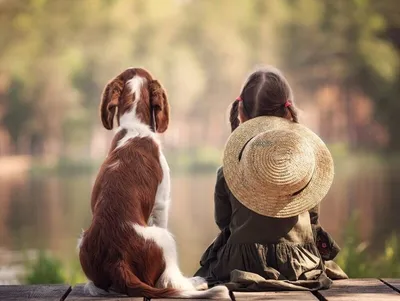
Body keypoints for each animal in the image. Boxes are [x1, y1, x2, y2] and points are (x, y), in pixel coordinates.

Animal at [77, 68, 230, 298]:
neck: (135, 127)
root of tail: (117, 260)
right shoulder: (161, 204)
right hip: (164, 238)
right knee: (169, 280)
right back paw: (196, 282)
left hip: (82, 242)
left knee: (96, 286)